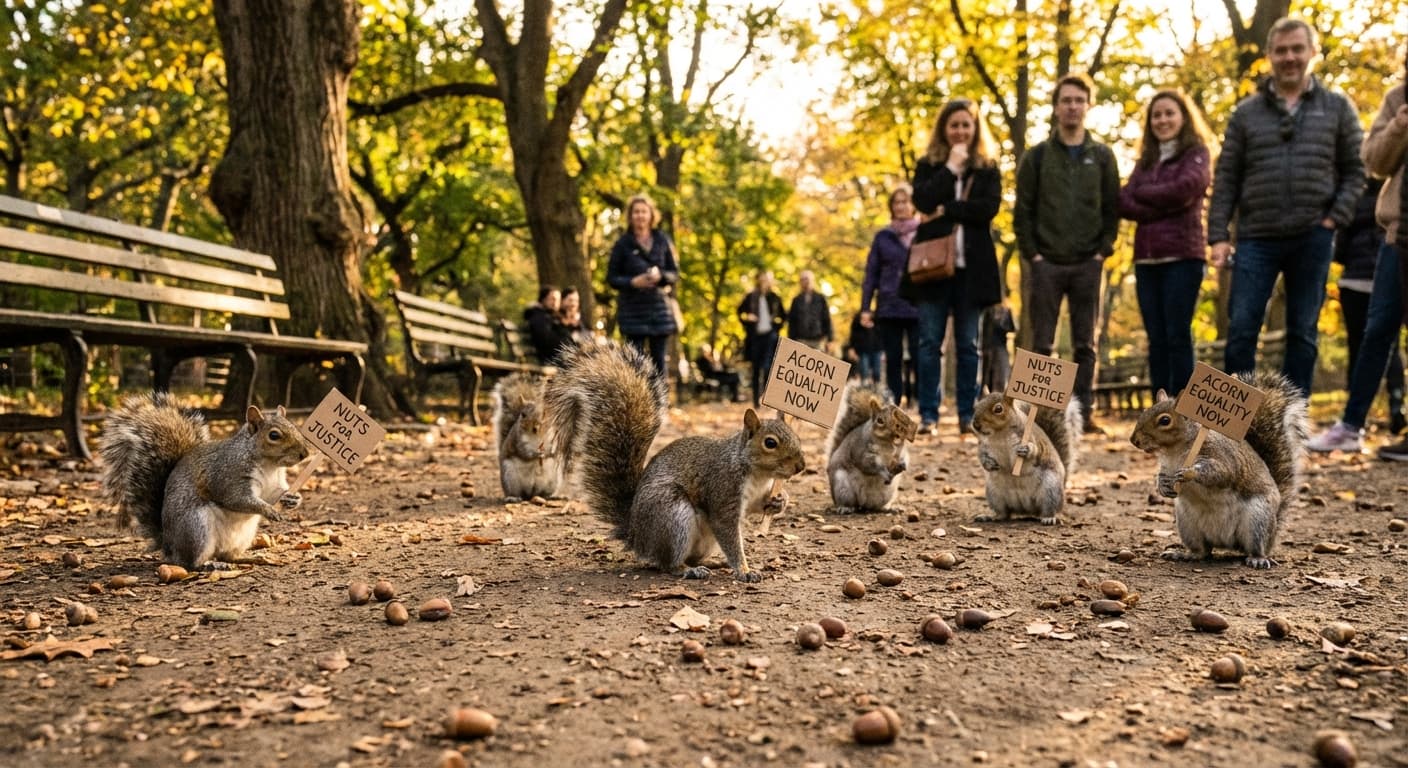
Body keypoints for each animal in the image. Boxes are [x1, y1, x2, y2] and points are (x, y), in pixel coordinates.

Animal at [99, 392, 309, 570]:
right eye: (274, 435)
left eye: (293, 425)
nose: (305, 454)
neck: (269, 466)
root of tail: (168, 546)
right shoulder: (228, 476)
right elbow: (238, 499)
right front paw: (268, 510)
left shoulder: (273, 484)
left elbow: (273, 495)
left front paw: (293, 498)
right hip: (195, 529)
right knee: (190, 563)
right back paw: (210, 564)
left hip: (242, 536)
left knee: (228, 556)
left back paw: (250, 558)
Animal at [543, 342, 806, 582]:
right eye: (770, 443)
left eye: (796, 435)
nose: (801, 466)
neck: (757, 473)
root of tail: (636, 535)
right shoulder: (723, 489)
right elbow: (728, 532)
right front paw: (744, 570)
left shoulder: (755, 494)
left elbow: (757, 506)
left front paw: (779, 501)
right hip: (672, 516)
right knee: (667, 563)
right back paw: (689, 570)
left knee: (690, 557)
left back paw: (714, 563)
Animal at [825, 382, 917, 513]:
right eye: (880, 420)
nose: (896, 434)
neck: (888, 444)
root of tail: (864, 503)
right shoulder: (861, 451)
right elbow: (868, 465)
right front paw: (883, 472)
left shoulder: (900, 451)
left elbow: (905, 457)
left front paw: (903, 465)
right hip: (842, 487)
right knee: (848, 502)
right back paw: (845, 508)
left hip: (888, 493)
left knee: (877, 507)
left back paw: (889, 508)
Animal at [971, 392, 1082, 525]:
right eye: (976, 406)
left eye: (998, 409)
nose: (976, 425)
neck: (999, 433)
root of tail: (1026, 509)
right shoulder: (983, 445)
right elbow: (981, 456)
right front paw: (988, 464)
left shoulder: (1030, 437)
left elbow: (1036, 450)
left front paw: (1027, 450)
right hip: (994, 494)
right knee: (1004, 514)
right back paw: (990, 516)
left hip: (1050, 490)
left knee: (1049, 508)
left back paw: (1048, 518)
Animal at [1130, 372, 1307, 569]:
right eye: (1145, 411)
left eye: (1165, 420)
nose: (1134, 440)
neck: (1175, 451)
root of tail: (1225, 543)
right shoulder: (1167, 465)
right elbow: (1161, 475)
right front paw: (1162, 486)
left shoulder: (1222, 456)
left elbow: (1222, 473)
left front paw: (1189, 473)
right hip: (1187, 525)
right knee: (1203, 551)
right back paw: (1185, 554)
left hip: (1258, 520)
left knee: (1256, 547)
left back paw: (1258, 558)